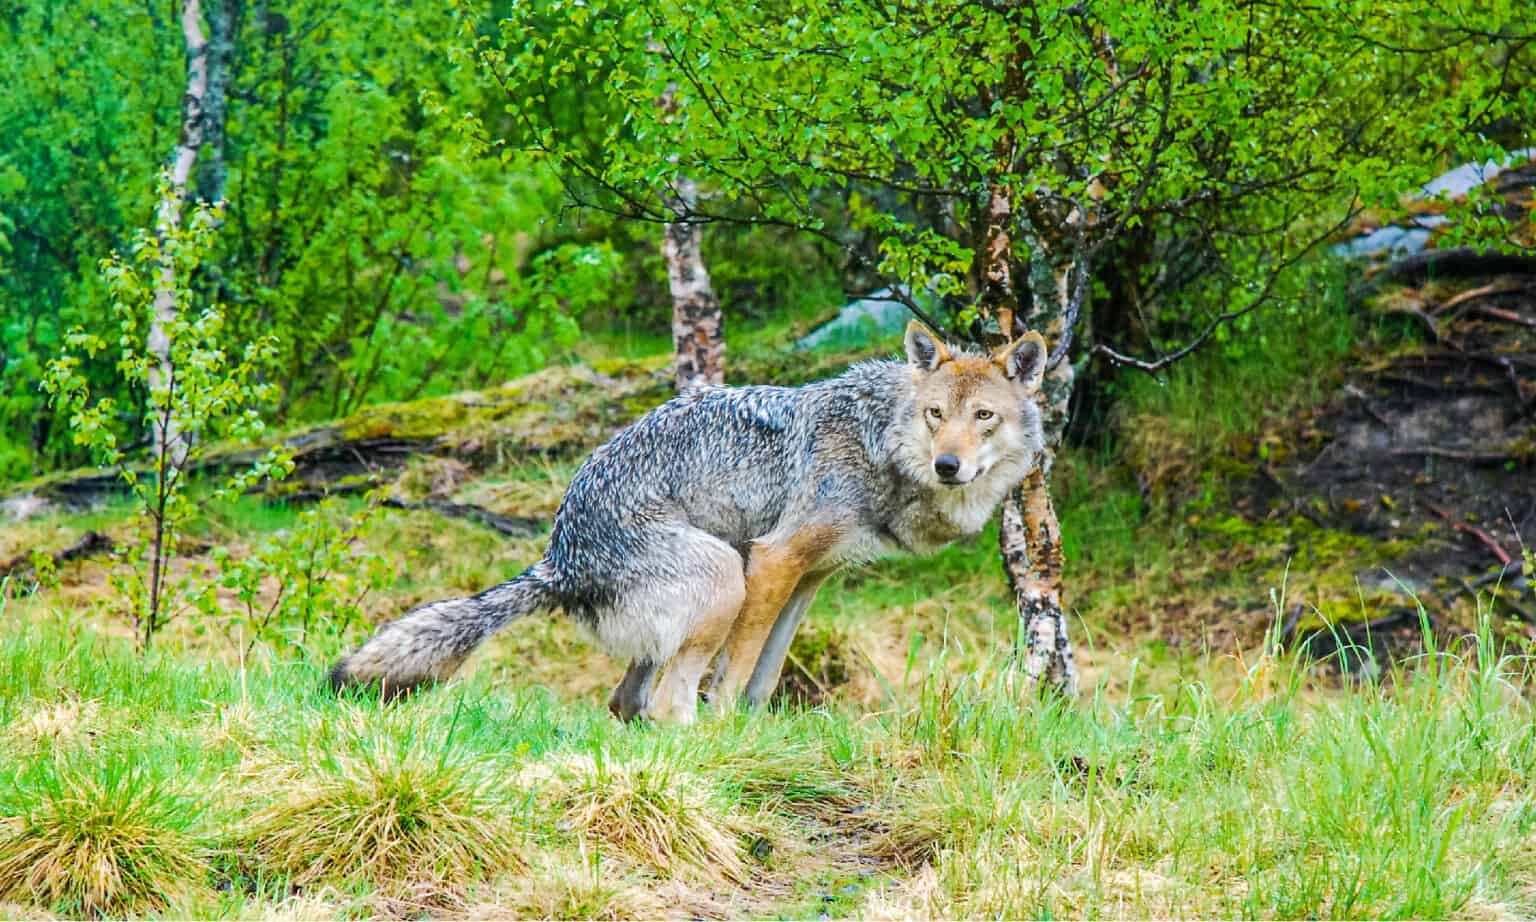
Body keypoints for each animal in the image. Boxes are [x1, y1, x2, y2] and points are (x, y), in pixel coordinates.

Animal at [330, 322, 1050, 719]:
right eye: (936, 415)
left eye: (983, 417)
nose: (950, 465)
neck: (879, 441)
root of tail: (559, 559)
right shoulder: (772, 559)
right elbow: (734, 678)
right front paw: (731, 740)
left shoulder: (810, 578)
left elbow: (765, 678)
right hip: (725, 576)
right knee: (667, 704)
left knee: (626, 703)